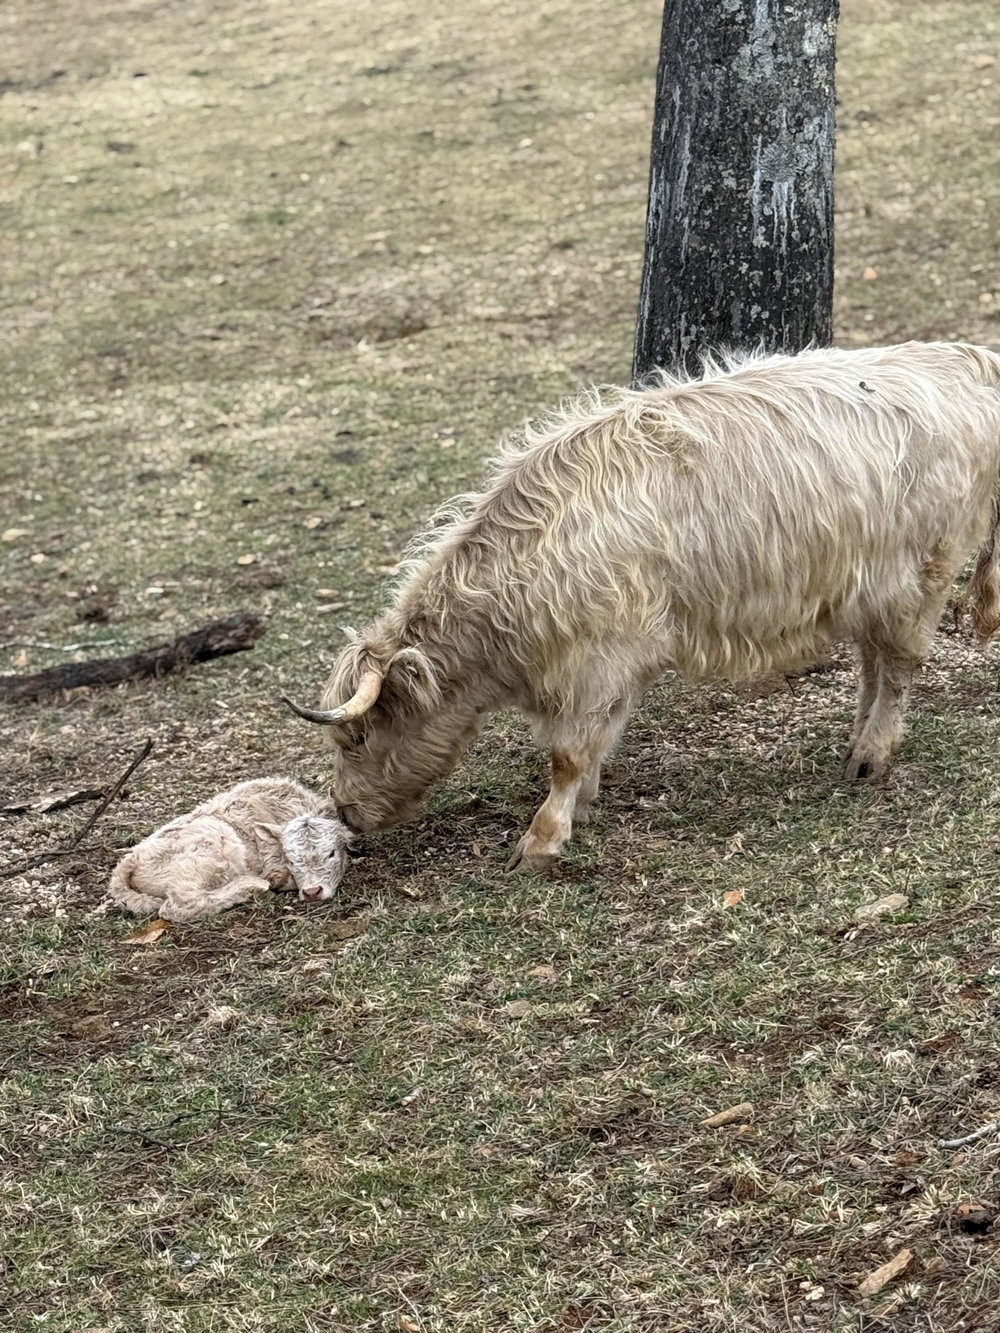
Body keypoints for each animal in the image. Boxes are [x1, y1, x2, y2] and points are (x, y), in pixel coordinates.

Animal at [284, 342, 1000, 871]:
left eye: (357, 736)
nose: (344, 812)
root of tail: (965, 358)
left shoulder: (595, 660)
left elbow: (569, 753)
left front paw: (542, 838)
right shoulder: (620, 657)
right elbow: (600, 737)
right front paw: (585, 804)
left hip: (922, 574)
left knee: (900, 667)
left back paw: (873, 754)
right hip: (870, 588)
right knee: (875, 663)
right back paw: (855, 746)